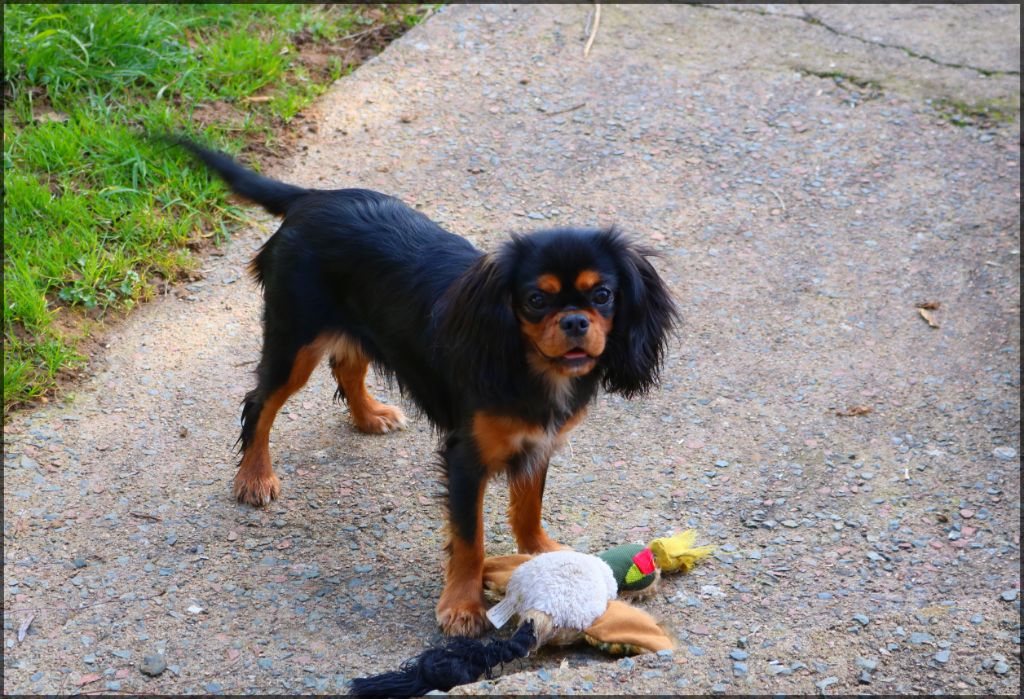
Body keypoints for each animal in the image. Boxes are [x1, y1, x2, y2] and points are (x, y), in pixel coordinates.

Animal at [176, 139, 679, 638]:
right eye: (535, 300)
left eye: (603, 296)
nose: (575, 321)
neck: (530, 364)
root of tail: (312, 197)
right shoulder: (465, 456)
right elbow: (470, 538)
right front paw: (462, 607)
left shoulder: (539, 441)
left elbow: (528, 506)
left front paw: (543, 554)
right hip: (294, 340)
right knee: (261, 402)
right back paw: (254, 476)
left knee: (347, 364)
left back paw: (369, 416)